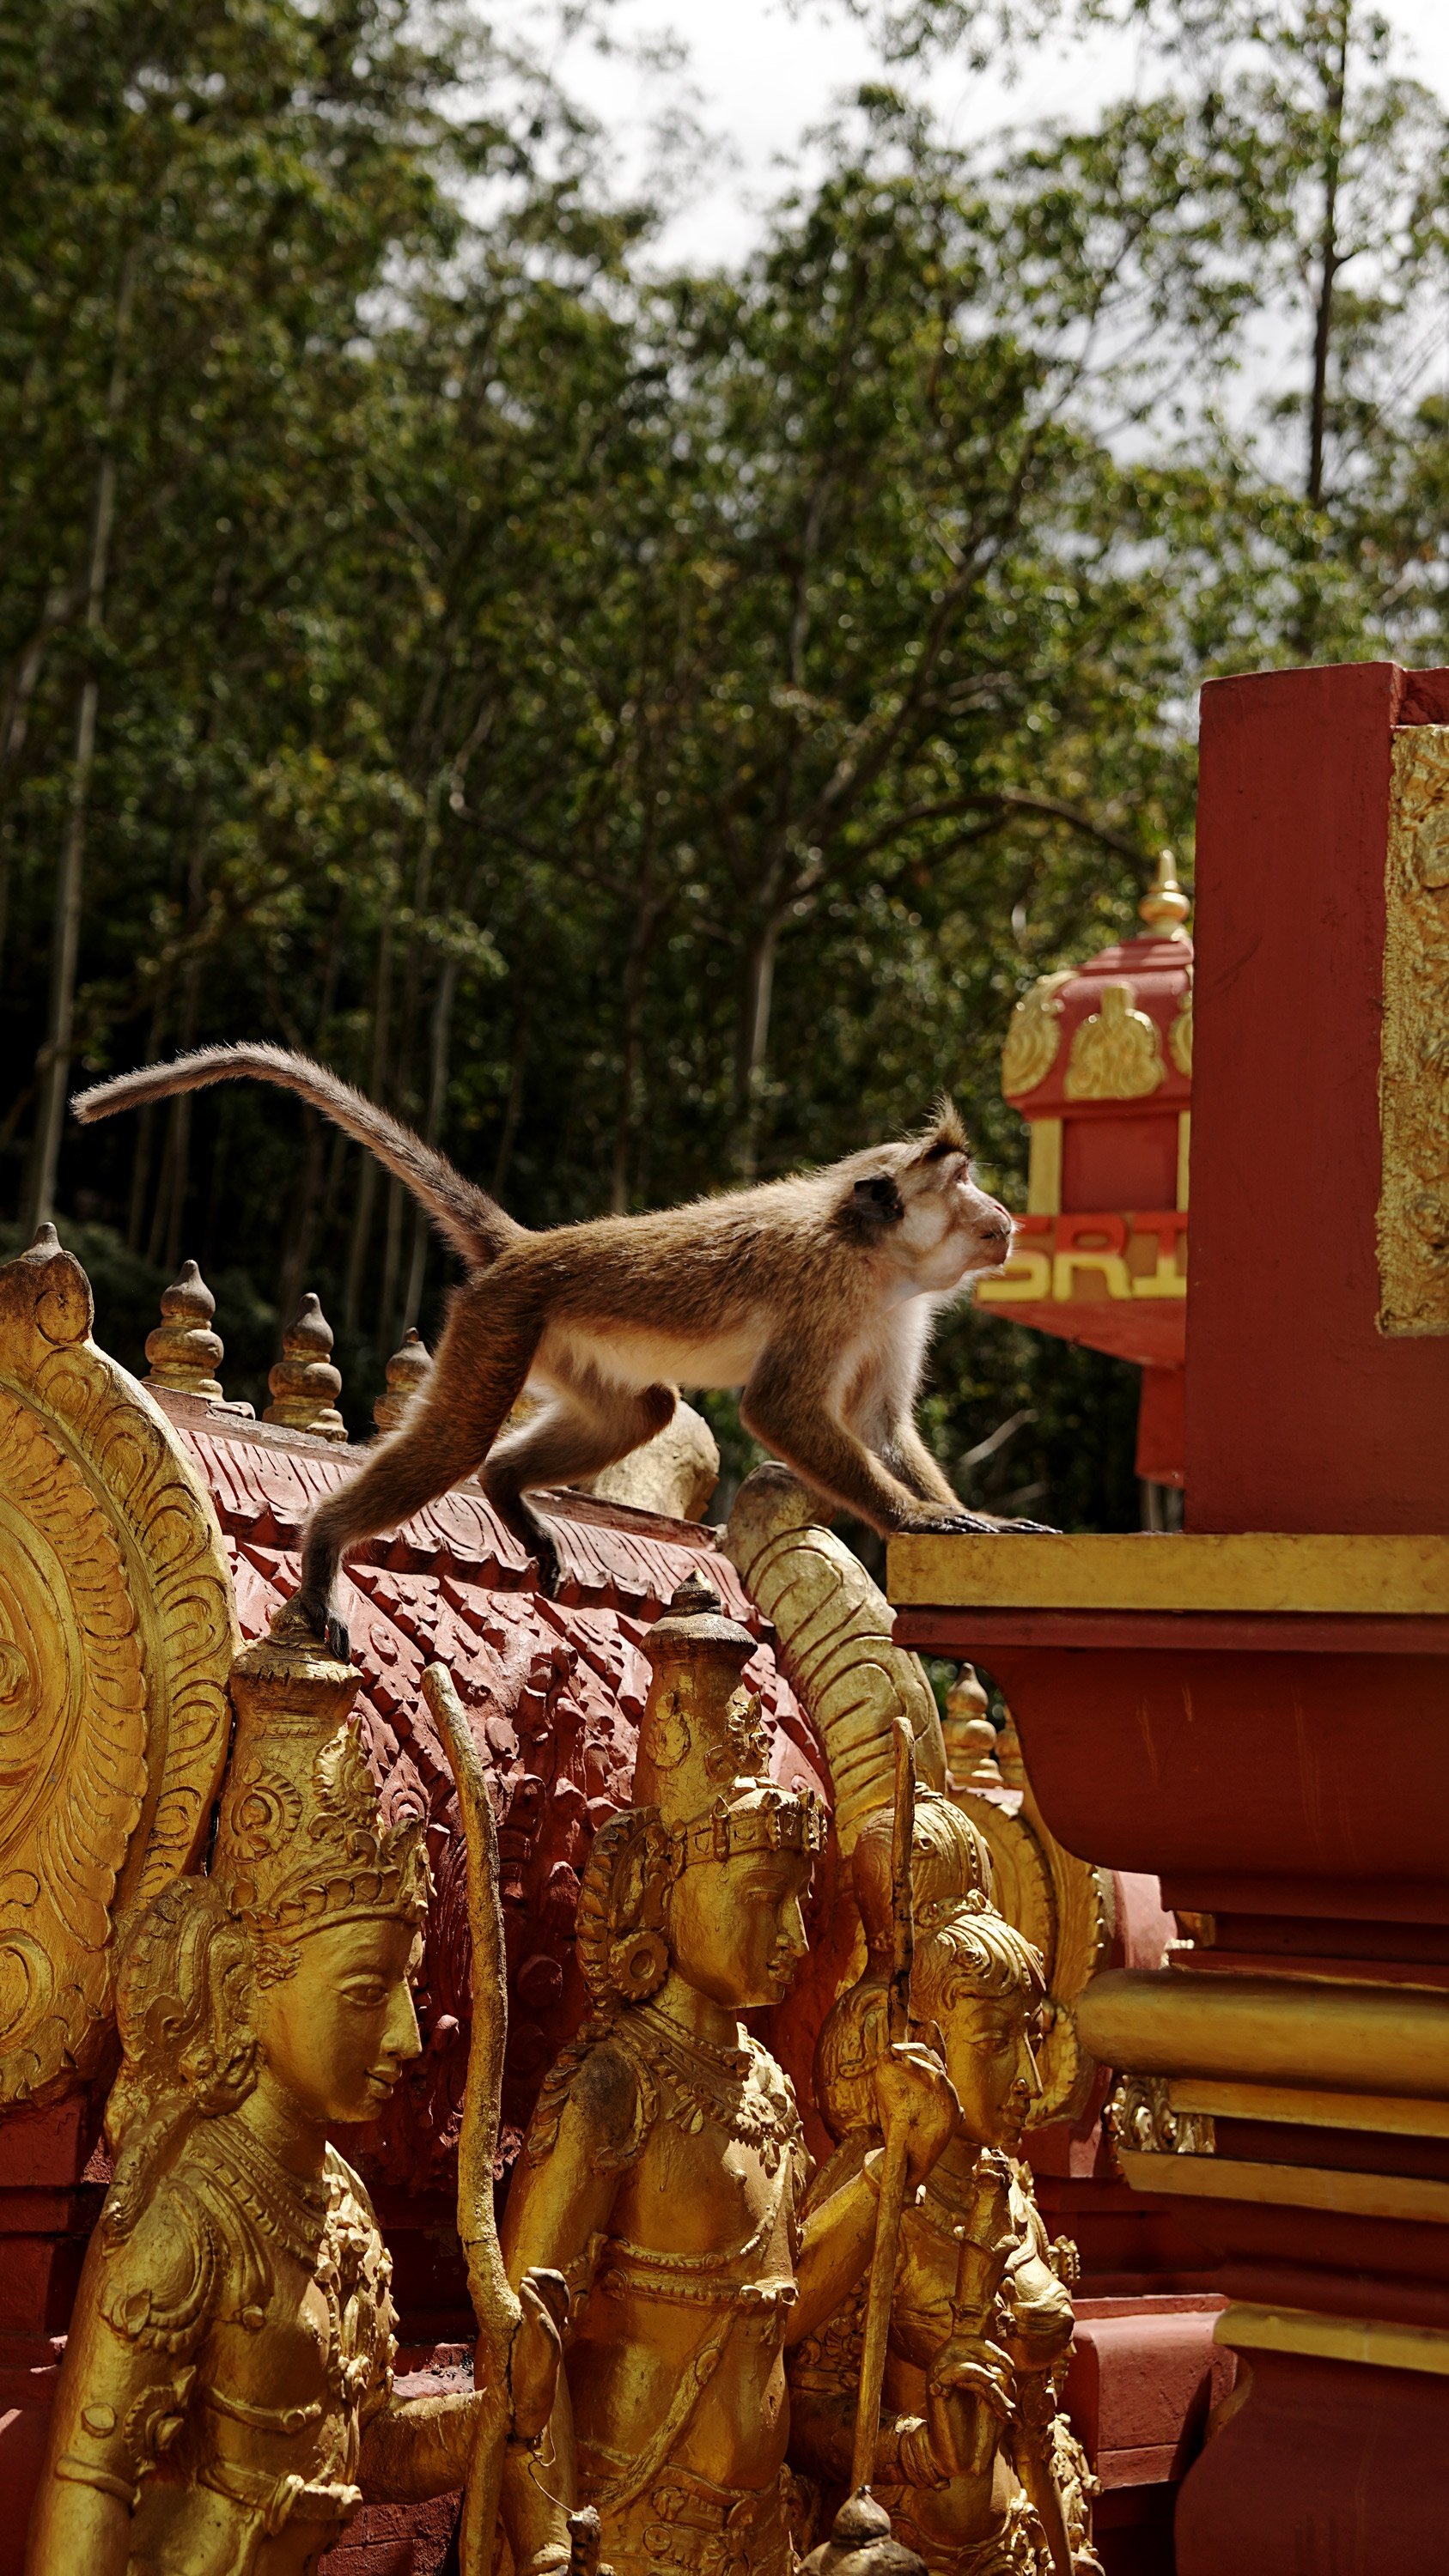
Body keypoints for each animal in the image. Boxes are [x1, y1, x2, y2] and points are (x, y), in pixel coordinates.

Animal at [74, 1044, 1046, 1647]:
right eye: (961, 1182)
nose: (1000, 1213)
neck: (879, 1258)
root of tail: (528, 1247)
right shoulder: (826, 1291)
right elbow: (778, 1410)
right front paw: (914, 1517)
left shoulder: (896, 1313)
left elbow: (881, 1427)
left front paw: (976, 1520)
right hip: (503, 1319)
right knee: (459, 1439)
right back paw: (324, 1546)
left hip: (557, 1341)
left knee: (639, 1411)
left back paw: (508, 1487)